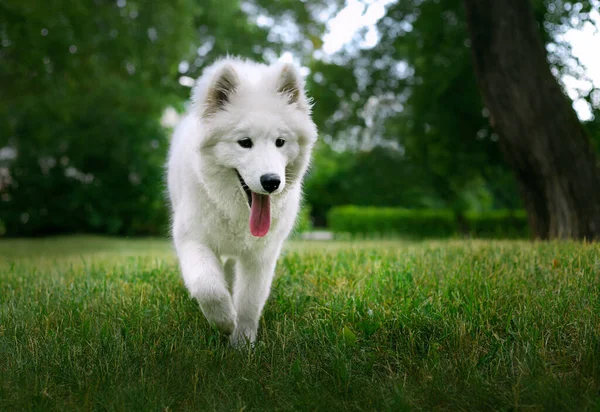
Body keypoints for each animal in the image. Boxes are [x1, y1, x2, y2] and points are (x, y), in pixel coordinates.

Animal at [166, 57, 318, 348]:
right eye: (244, 142)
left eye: (280, 142)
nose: (271, 181)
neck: (237, 212)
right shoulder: (193, 240)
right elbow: (207, 286)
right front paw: (225, 321)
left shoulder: (261, 255)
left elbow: (250, 301)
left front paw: (243, 344)